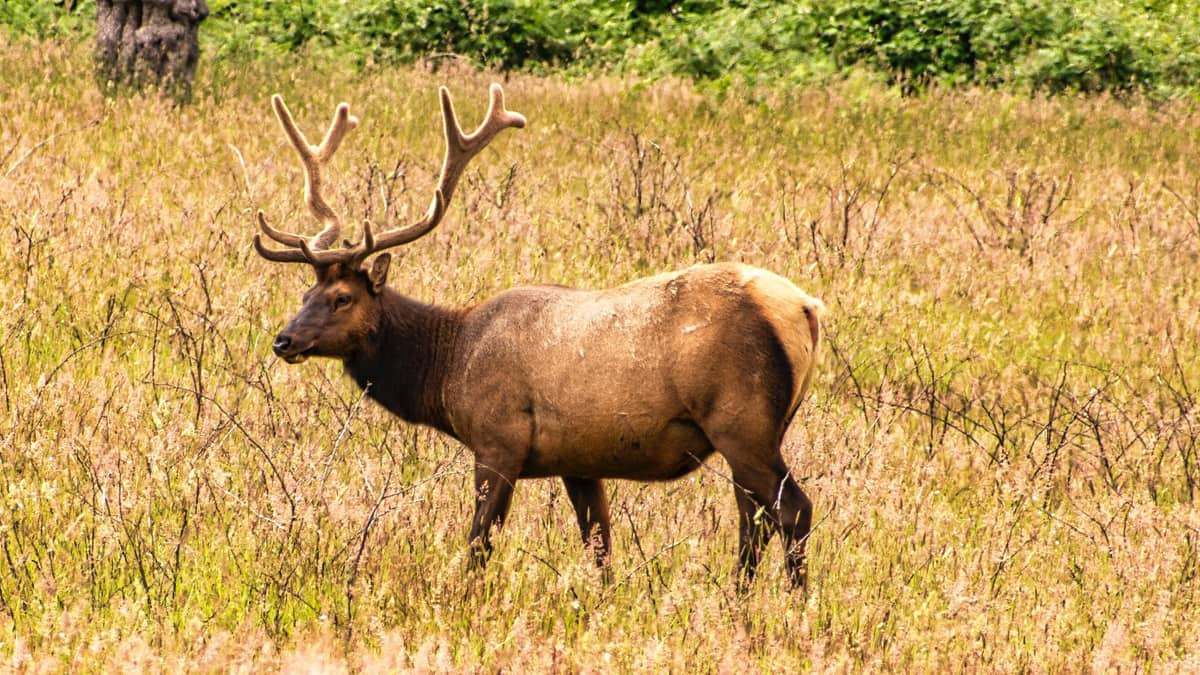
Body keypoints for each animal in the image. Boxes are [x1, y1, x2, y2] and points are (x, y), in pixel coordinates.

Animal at [253, 84, 825, 588]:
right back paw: (741, 598)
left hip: (740, 419)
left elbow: (479, 542)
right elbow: (600, 545)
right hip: (759, 429)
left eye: (342, 298)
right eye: (305, 292)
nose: (283, 341)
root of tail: (806, 307)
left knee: (792, 510)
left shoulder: (498, 438)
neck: (448, 365)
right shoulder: (579, 461)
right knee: (753, 520)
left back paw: (794, 604)